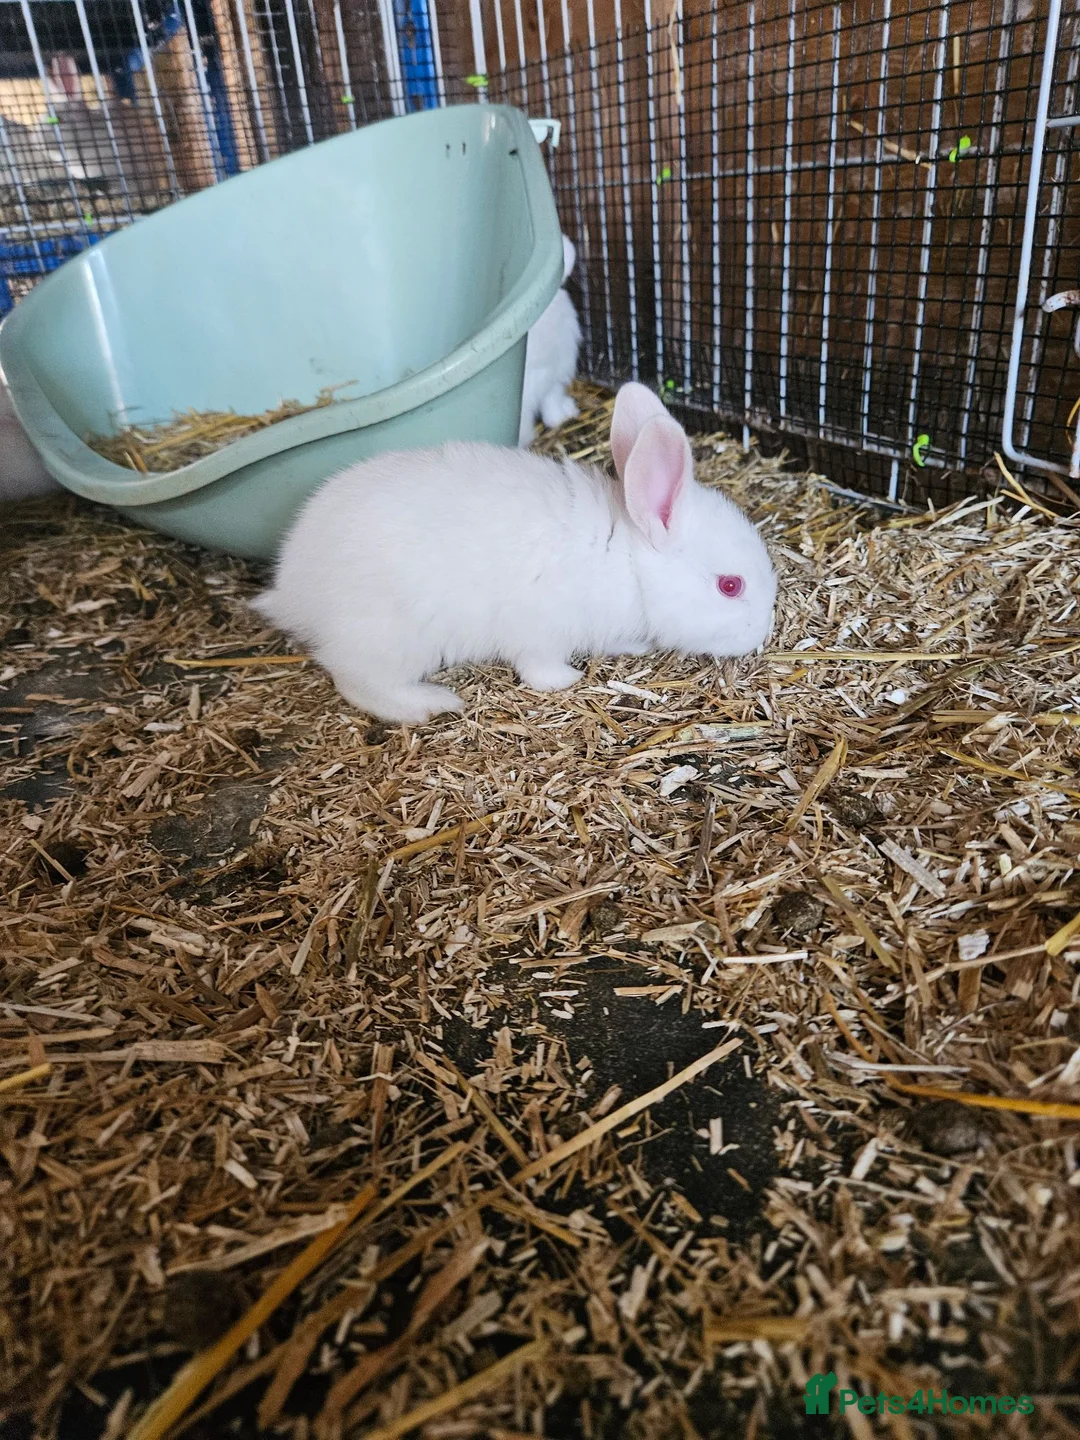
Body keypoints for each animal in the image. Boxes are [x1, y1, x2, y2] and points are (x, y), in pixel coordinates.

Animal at [253, 382, 777, 724]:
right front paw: (566, 680)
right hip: (389, 639)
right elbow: (539, 670)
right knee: (357, 681)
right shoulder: (542, 632)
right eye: (731, 586)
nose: (762, 634)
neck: (626, 559)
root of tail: (291, 590)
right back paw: (431, 703)